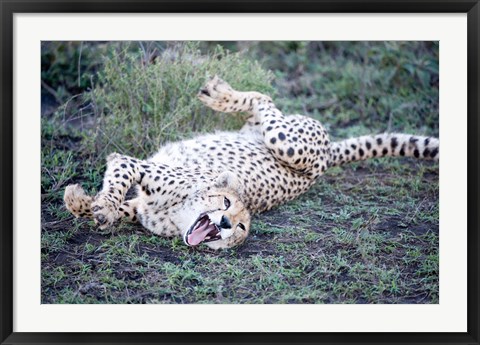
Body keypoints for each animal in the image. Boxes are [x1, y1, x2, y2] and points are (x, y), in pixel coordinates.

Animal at [63, 76, 438, 247]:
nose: (225, 223)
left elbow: (118, 205)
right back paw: (221, 93)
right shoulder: (135, 166)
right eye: (226, 203)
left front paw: (87, 204)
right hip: (284, 141)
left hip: (289, 144)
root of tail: (329, 154)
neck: (178, 214)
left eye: (241, 229)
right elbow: (116, 182)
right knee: (263, 98)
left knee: (264, 101)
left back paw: (221, 94)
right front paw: (90, 202)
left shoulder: (141, 201)